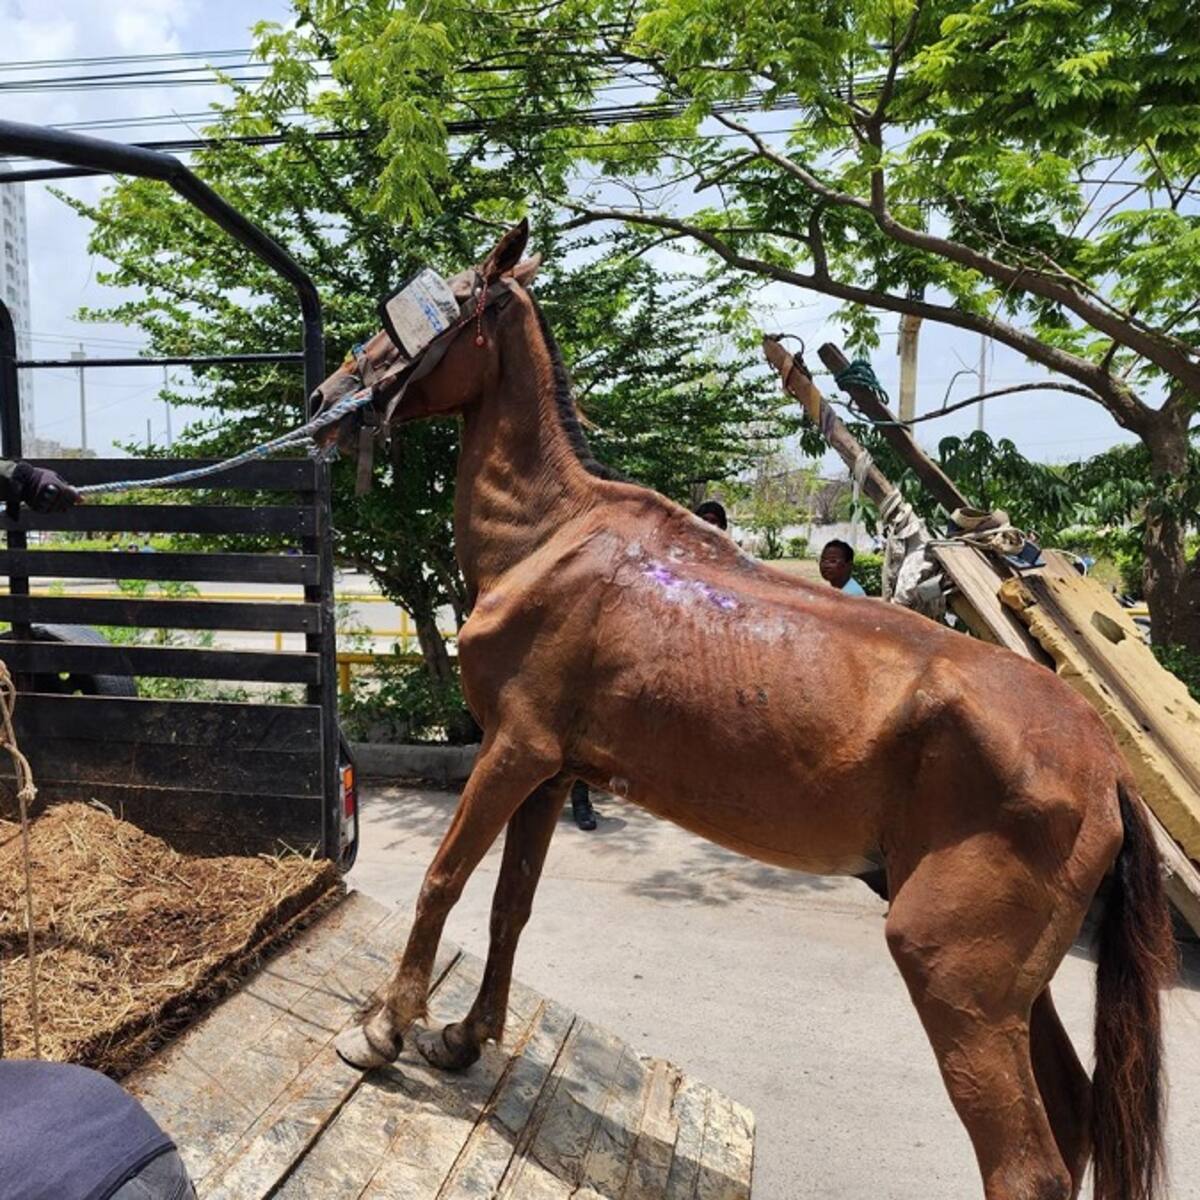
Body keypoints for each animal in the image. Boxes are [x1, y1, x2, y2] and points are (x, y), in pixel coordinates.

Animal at [313, 221, 1175, 1200]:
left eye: (423, 311)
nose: (329, 396)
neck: (553, 538)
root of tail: (1106, 765)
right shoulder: (550, 770)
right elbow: (510, 905)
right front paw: (464, 1037)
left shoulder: (512, 751)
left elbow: (443, 880)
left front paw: (384, 1029)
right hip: (1013, 994)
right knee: (1073, 1115)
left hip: (954, 977)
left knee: (1027, 1166)